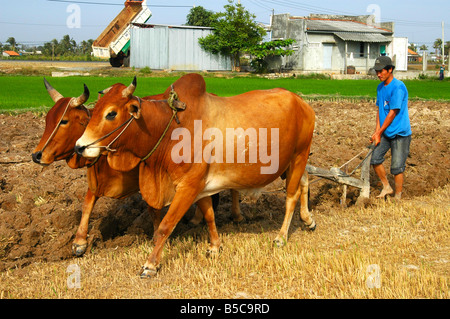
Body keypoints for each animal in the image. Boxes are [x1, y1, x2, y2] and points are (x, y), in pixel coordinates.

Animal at [75, 73, 314, 278]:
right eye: (93, 111)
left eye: (111, 113)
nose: (79, 147)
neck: (171, 129)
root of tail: (302, 103)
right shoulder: (201, 186)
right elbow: (209, 215)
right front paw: (215, 246)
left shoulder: (187, 187)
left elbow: (165, 226)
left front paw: (150, 265)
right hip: (293, 162)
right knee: (305, 182)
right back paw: (308, 220)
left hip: (299, 155)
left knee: (291, 196)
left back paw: (281, 237)